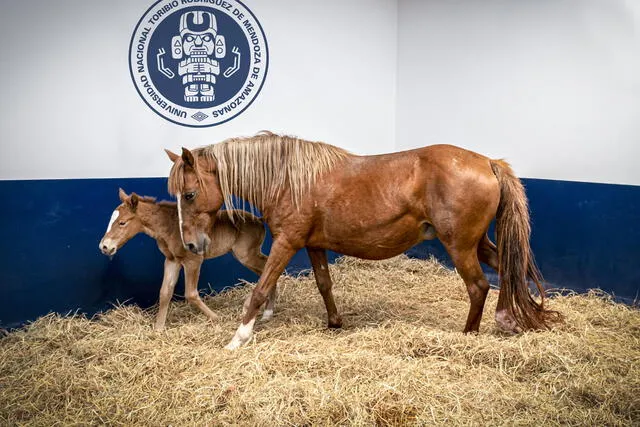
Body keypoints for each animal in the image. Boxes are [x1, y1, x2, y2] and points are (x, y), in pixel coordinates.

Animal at [99, 188, 274, 332]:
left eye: (122, 223)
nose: (104, 246)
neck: (170, 227)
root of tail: (259, 220)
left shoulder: (193, 261)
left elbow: (190, 294)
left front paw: (217, 318)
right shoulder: (172, 260)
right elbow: (165, 292)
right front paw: (158, 328)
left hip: (246, 255)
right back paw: (267, 310)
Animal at [165, 134, 560, 352]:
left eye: (189, 194)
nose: (191, 245)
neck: (287, 179)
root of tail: (488, 162)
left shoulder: (287, 243)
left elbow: (260, 288)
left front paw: (239, 337)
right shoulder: (313, 244)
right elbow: (324, 283)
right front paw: (334, 322)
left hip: (460, 246)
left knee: (478, 286)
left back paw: (468, 335)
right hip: (478, 244)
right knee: (508, 270)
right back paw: (511, 319)